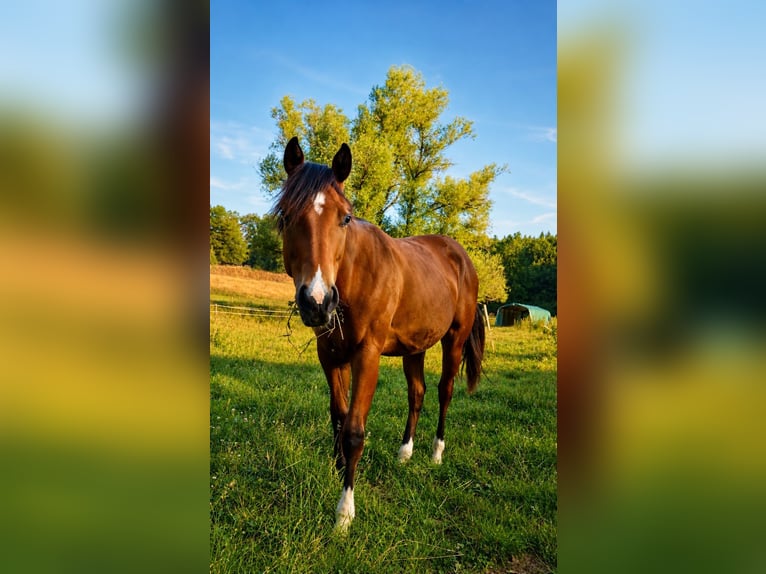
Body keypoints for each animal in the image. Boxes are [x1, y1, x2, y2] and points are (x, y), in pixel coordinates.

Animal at [272, 137, 485, 531]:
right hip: (415, 346)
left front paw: (344, 512)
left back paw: (436, 453)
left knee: (444, 391)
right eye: (286, 216)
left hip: (455, 340)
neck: (354, 277)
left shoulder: (366, 356)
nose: (317, 301)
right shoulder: (330, 356)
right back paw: (405, 453)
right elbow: (338, 418)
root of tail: (458, 252)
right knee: (417, 393)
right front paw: (338, 468)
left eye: (345, 217)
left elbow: (355, 431)